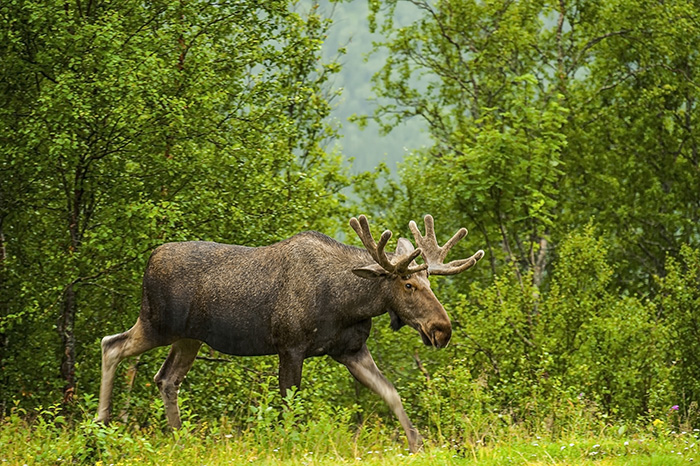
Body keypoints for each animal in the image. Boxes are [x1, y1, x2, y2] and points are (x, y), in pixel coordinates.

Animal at [97, 215, 482, 452]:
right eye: (407, 284)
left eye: (429, 280)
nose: (442, 329)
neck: (348, 302)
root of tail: (150, 259)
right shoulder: (290, 346)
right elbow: (288, 406)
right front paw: (286, 444)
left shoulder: (350, 350)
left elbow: (391, 394)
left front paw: (417, 443)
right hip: (156, 323)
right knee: (111, 345)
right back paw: (101, 422)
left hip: (188, 338)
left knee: (166, 378)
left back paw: (179, 437)